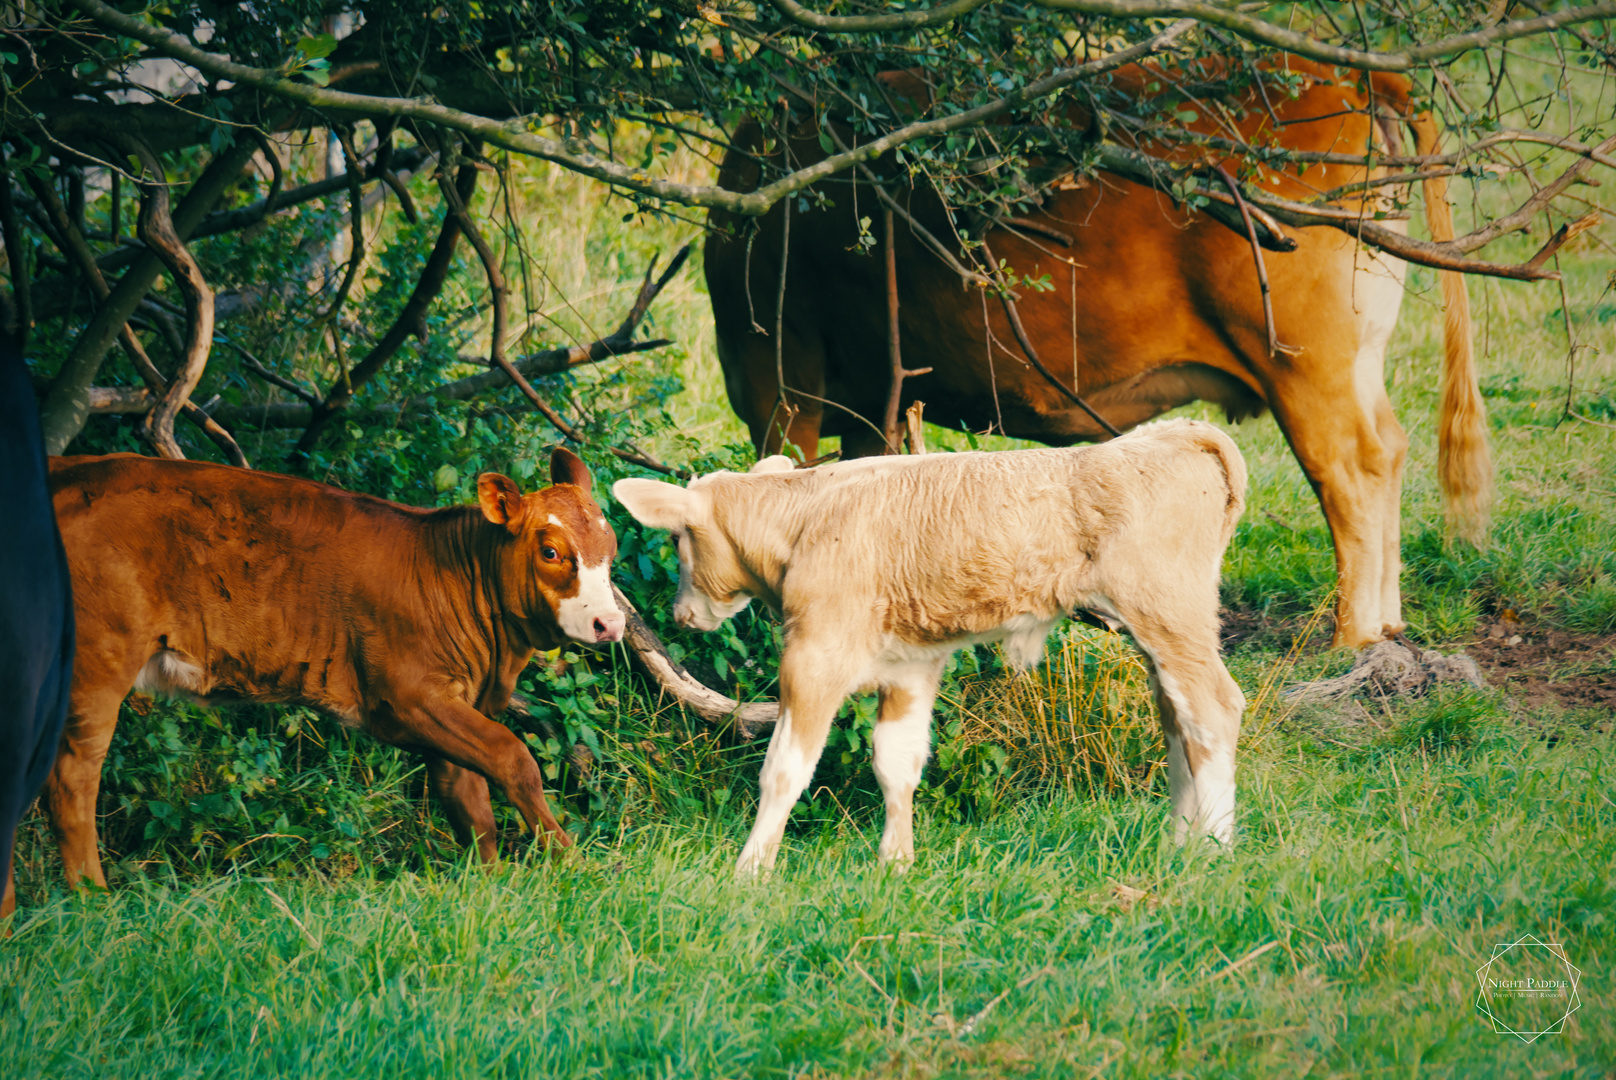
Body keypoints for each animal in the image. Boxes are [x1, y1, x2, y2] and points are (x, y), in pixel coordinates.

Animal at [42, 442, 623, 892]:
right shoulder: (408, 694)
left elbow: (467, 793)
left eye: (611, 546)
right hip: (98, 662)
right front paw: (571, 861)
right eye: (551, 551)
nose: (611, 624)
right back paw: (92, 897)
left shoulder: (448, 702)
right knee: (73, 780)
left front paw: (491, 880)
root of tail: (65, 468)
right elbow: (512, 758)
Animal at [610, 417, 1241, 873]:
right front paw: (896, 864)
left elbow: (786, 768)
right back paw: (1178, 844)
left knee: (1214, 709)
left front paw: (751, 869)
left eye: (679, 538)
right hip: (1161, 634)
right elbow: (897, 762)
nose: (681, 613)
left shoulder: (814, 656)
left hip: (1168, 613)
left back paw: (1212, 848)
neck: (808, 516)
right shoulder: (908, 665)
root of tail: (1175, 431)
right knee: (1179, 721)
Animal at [707, 56, 1486, 649]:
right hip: (1354, 358)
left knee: (1352, 469)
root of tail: (1350, 72)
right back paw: (1387, 629)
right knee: (1388, 450)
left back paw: (1352, 638)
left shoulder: (781, 382)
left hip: (1304, 363)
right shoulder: (868, 407)